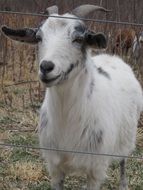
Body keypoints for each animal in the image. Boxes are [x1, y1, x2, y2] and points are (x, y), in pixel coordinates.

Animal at [1, 4, 143, 190]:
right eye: (39, 37)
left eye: (78, 39)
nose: (46, 67)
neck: (67, 117)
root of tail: (113, 58)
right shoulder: (55, 167)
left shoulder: (95, 169)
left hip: (126, 139)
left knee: (123, 163)